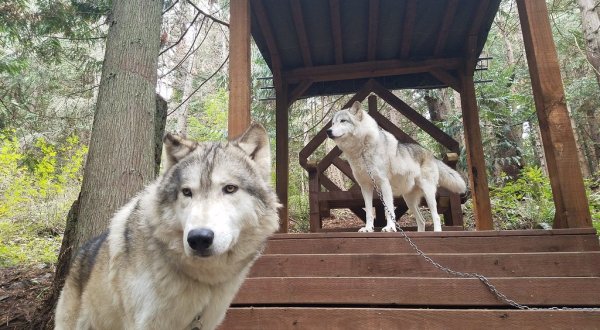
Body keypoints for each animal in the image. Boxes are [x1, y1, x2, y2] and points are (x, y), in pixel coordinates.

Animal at [326, 102, 466, 233]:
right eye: (333, 123)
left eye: (343, 121)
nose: (328, 131)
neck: (361, 151)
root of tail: (431, 155)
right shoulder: (365, 187)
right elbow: (369, 213)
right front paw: (368, 229)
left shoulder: (384, 184)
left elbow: (388, 210)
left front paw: (389, 228)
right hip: (409, 201)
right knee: (422, 221)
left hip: (428, 194)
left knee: (435, 216)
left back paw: (436, 232)